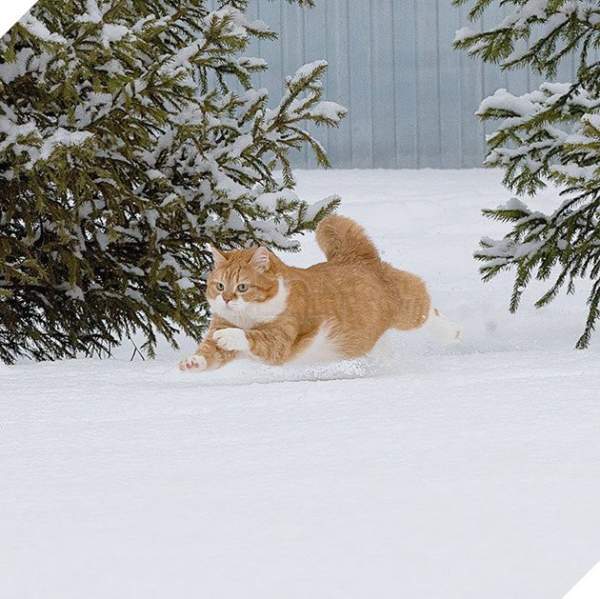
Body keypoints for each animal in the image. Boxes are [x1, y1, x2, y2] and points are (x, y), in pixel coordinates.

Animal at [180, 216, 458, 370]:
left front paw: (230, 335)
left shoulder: (282, 339)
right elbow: (209, 354)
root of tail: (357, 257)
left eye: (242, 287)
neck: (246, 316)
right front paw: (192, 363)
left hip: (408, 307)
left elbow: (253, 337)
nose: (226, 299)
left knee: (425, 306)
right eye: (219, 286)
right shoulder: (219, 328)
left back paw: (452, 333)